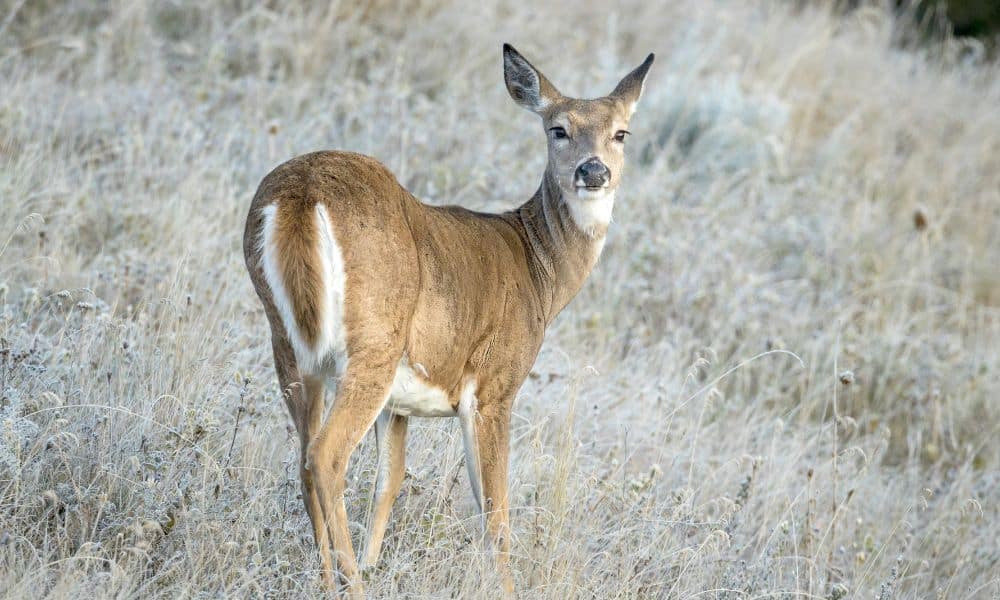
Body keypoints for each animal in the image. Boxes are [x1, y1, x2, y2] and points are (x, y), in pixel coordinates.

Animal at [243, 43, 656, 596]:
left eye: (620, 132)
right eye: (558, 129)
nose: (593, 171)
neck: (538, 269)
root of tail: (301, 195)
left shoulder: (400, 403)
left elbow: (390, 481)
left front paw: (375, 562)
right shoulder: (494, 388)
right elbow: (494, 510)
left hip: (288, 346)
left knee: (304, 458)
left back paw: (329, 580)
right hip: (373, 343)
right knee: (326, 457)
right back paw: (351, 585)